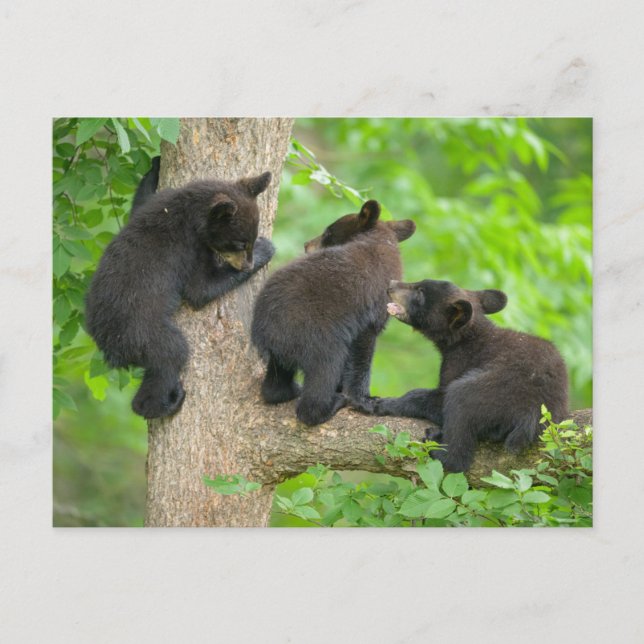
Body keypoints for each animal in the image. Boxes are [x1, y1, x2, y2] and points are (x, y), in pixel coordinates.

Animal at [85, 167, 274, 420]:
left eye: (249, 240)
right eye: (239, 244)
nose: (246, 264)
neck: (189, 211)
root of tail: (109, 347)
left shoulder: (153, 205)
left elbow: (140, 202)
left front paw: (154, 167)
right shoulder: (188, 248)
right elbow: (199, 289)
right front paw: (267, 250)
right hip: (143, 333)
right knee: (171, 355)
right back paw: (166, 403)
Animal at [251, 200, 416, 426]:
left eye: (328, 232)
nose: (306, 245)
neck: (380, 241)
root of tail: (263, 332)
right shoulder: (369, 311)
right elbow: (362, 354)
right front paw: (365, 400)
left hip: (284, 350)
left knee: (276, 382)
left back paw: (288, 390)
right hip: (317, 336)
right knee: (325, 371)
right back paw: (330, 404)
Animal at [355, 278, 569, 472]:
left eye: (420, 291)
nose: (391, 284)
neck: (465, 338)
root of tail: (533, 413)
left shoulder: (460, 361)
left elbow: (437, 398)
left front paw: (381, 403)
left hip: (496, 390)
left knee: (460, 406)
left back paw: (438, 447)